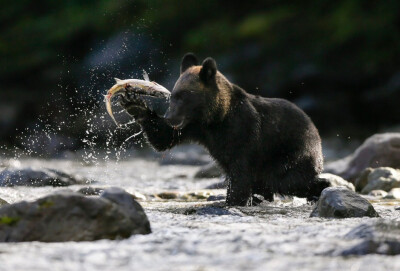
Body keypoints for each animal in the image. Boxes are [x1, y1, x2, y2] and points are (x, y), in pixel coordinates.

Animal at [119, 53, 328, 206]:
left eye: (184, 96)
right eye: (173, 96)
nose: (170, 117)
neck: (215, 118)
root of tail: (315, 129)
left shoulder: (244, 133)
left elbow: (240, 173)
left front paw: (232, 201)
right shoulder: (194, 128)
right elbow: (163, 138)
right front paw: (133, 102)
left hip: (289, 153)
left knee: (288, 180)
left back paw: (319, 189)